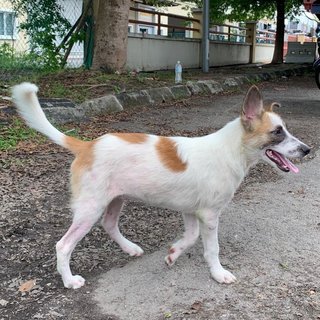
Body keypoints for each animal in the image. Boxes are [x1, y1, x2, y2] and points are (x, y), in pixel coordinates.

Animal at [13, 82, 310, 288]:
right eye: (277, 132)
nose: (307, 150)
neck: (230, 150)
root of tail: (87, 146)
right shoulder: (209, 215)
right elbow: (212, 248)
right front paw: (218, 273)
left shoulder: (192, 211)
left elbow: (190, 237)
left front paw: (173, 254)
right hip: (90, 208)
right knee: (63, 246)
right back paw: (69, 280)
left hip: (115, 199)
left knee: (109, 224)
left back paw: (130, 248)